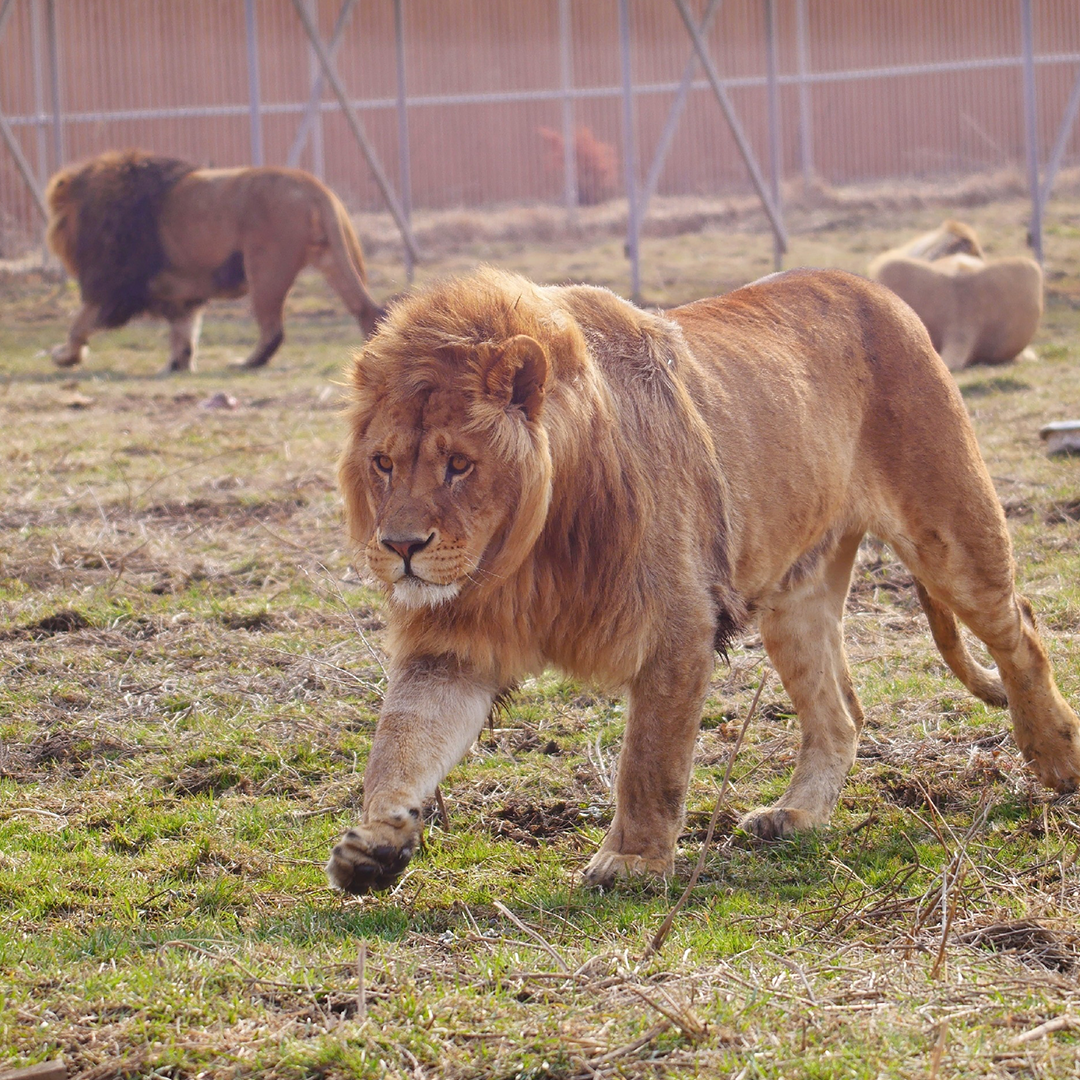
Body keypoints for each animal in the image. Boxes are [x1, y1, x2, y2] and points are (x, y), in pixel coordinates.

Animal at [46, 150, 384, 373]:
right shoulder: (181, 295)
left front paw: (65, 356)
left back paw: (247, 363)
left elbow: (79, 323)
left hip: (265, 268)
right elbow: (184, 331)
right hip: (329, 256)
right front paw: (177, 364)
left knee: (272, 329)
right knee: (366, 309)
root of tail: (312, 186)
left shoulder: (114, 287)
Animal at [330, 267, 1080, 894]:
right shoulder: (452, 643)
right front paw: (375, 844)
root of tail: (876, 288)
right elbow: (399, 742)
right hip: (795, 600)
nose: (400, 547)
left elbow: (649, 761)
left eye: (459, 464)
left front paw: (631, 863)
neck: (523, 557)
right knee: (840, 713)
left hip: (951, 535)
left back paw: (1057, 756)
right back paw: (794, 816)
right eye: (384, 463)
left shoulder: (677, 626)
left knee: (1021, 629)